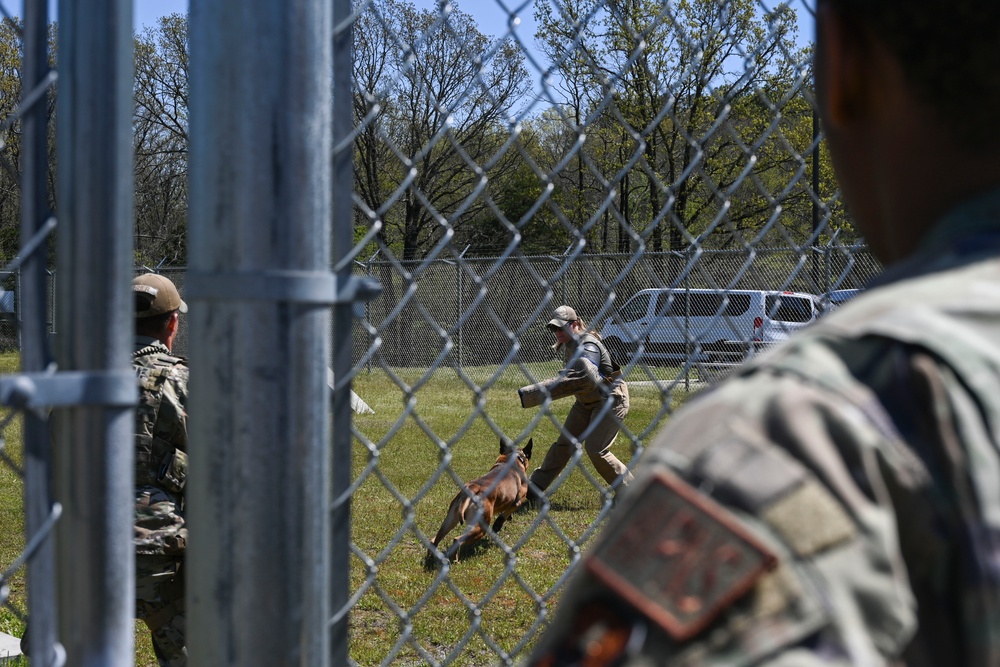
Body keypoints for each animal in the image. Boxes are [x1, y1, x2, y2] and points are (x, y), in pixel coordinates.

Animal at [422, 438, 532, 568]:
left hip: (450, 519)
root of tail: (472, 488)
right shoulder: (518, 501)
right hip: (480, 527)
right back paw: (455, 561)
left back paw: (431, 557)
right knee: (457, 540)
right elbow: (503, 515)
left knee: (435, 539)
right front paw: (498, 525)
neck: (512, 458)